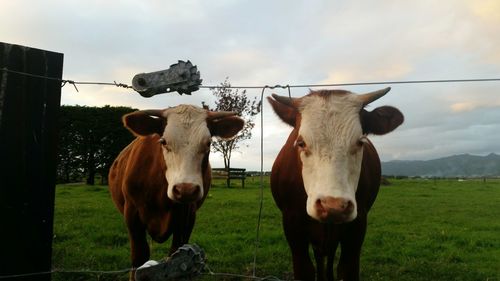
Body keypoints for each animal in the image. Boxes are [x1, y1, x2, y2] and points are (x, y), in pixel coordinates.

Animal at [268, 87, 404, 280]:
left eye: (360, 142)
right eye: (301, 143)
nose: (333, 206)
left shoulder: (357, 227)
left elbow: (346, 269)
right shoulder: (292, 225)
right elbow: (305, 270)